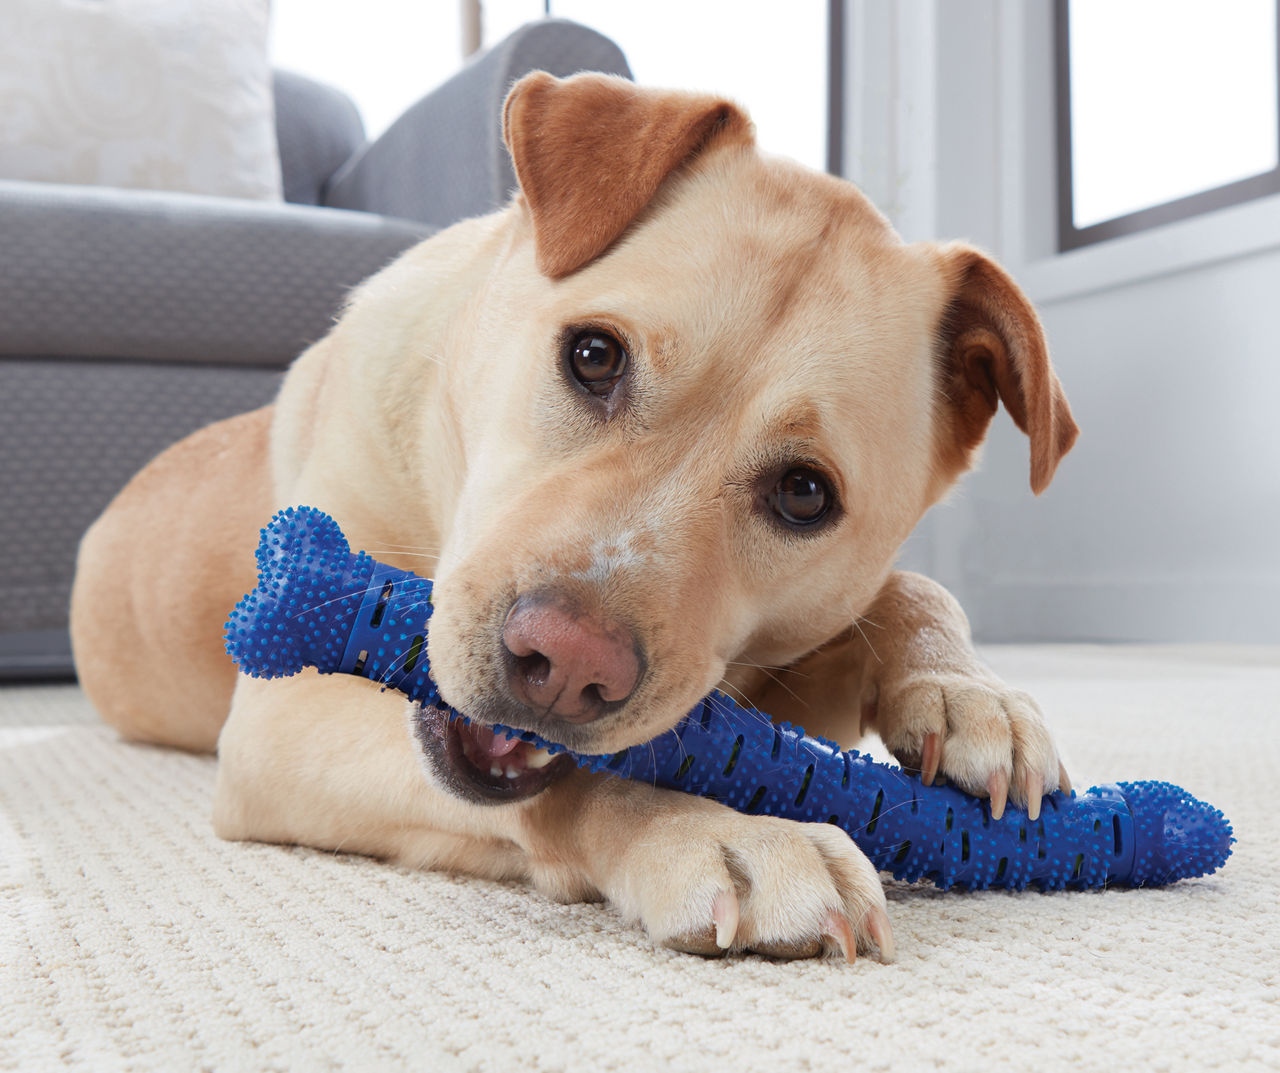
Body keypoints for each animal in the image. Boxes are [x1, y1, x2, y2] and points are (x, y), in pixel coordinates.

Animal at [67, 73, 1070, 968]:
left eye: (804, 494)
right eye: (592, 356)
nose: (567, 666)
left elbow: (913, 587)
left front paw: (970, 692)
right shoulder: (279, 716)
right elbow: (594, 782)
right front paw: (722, 830)